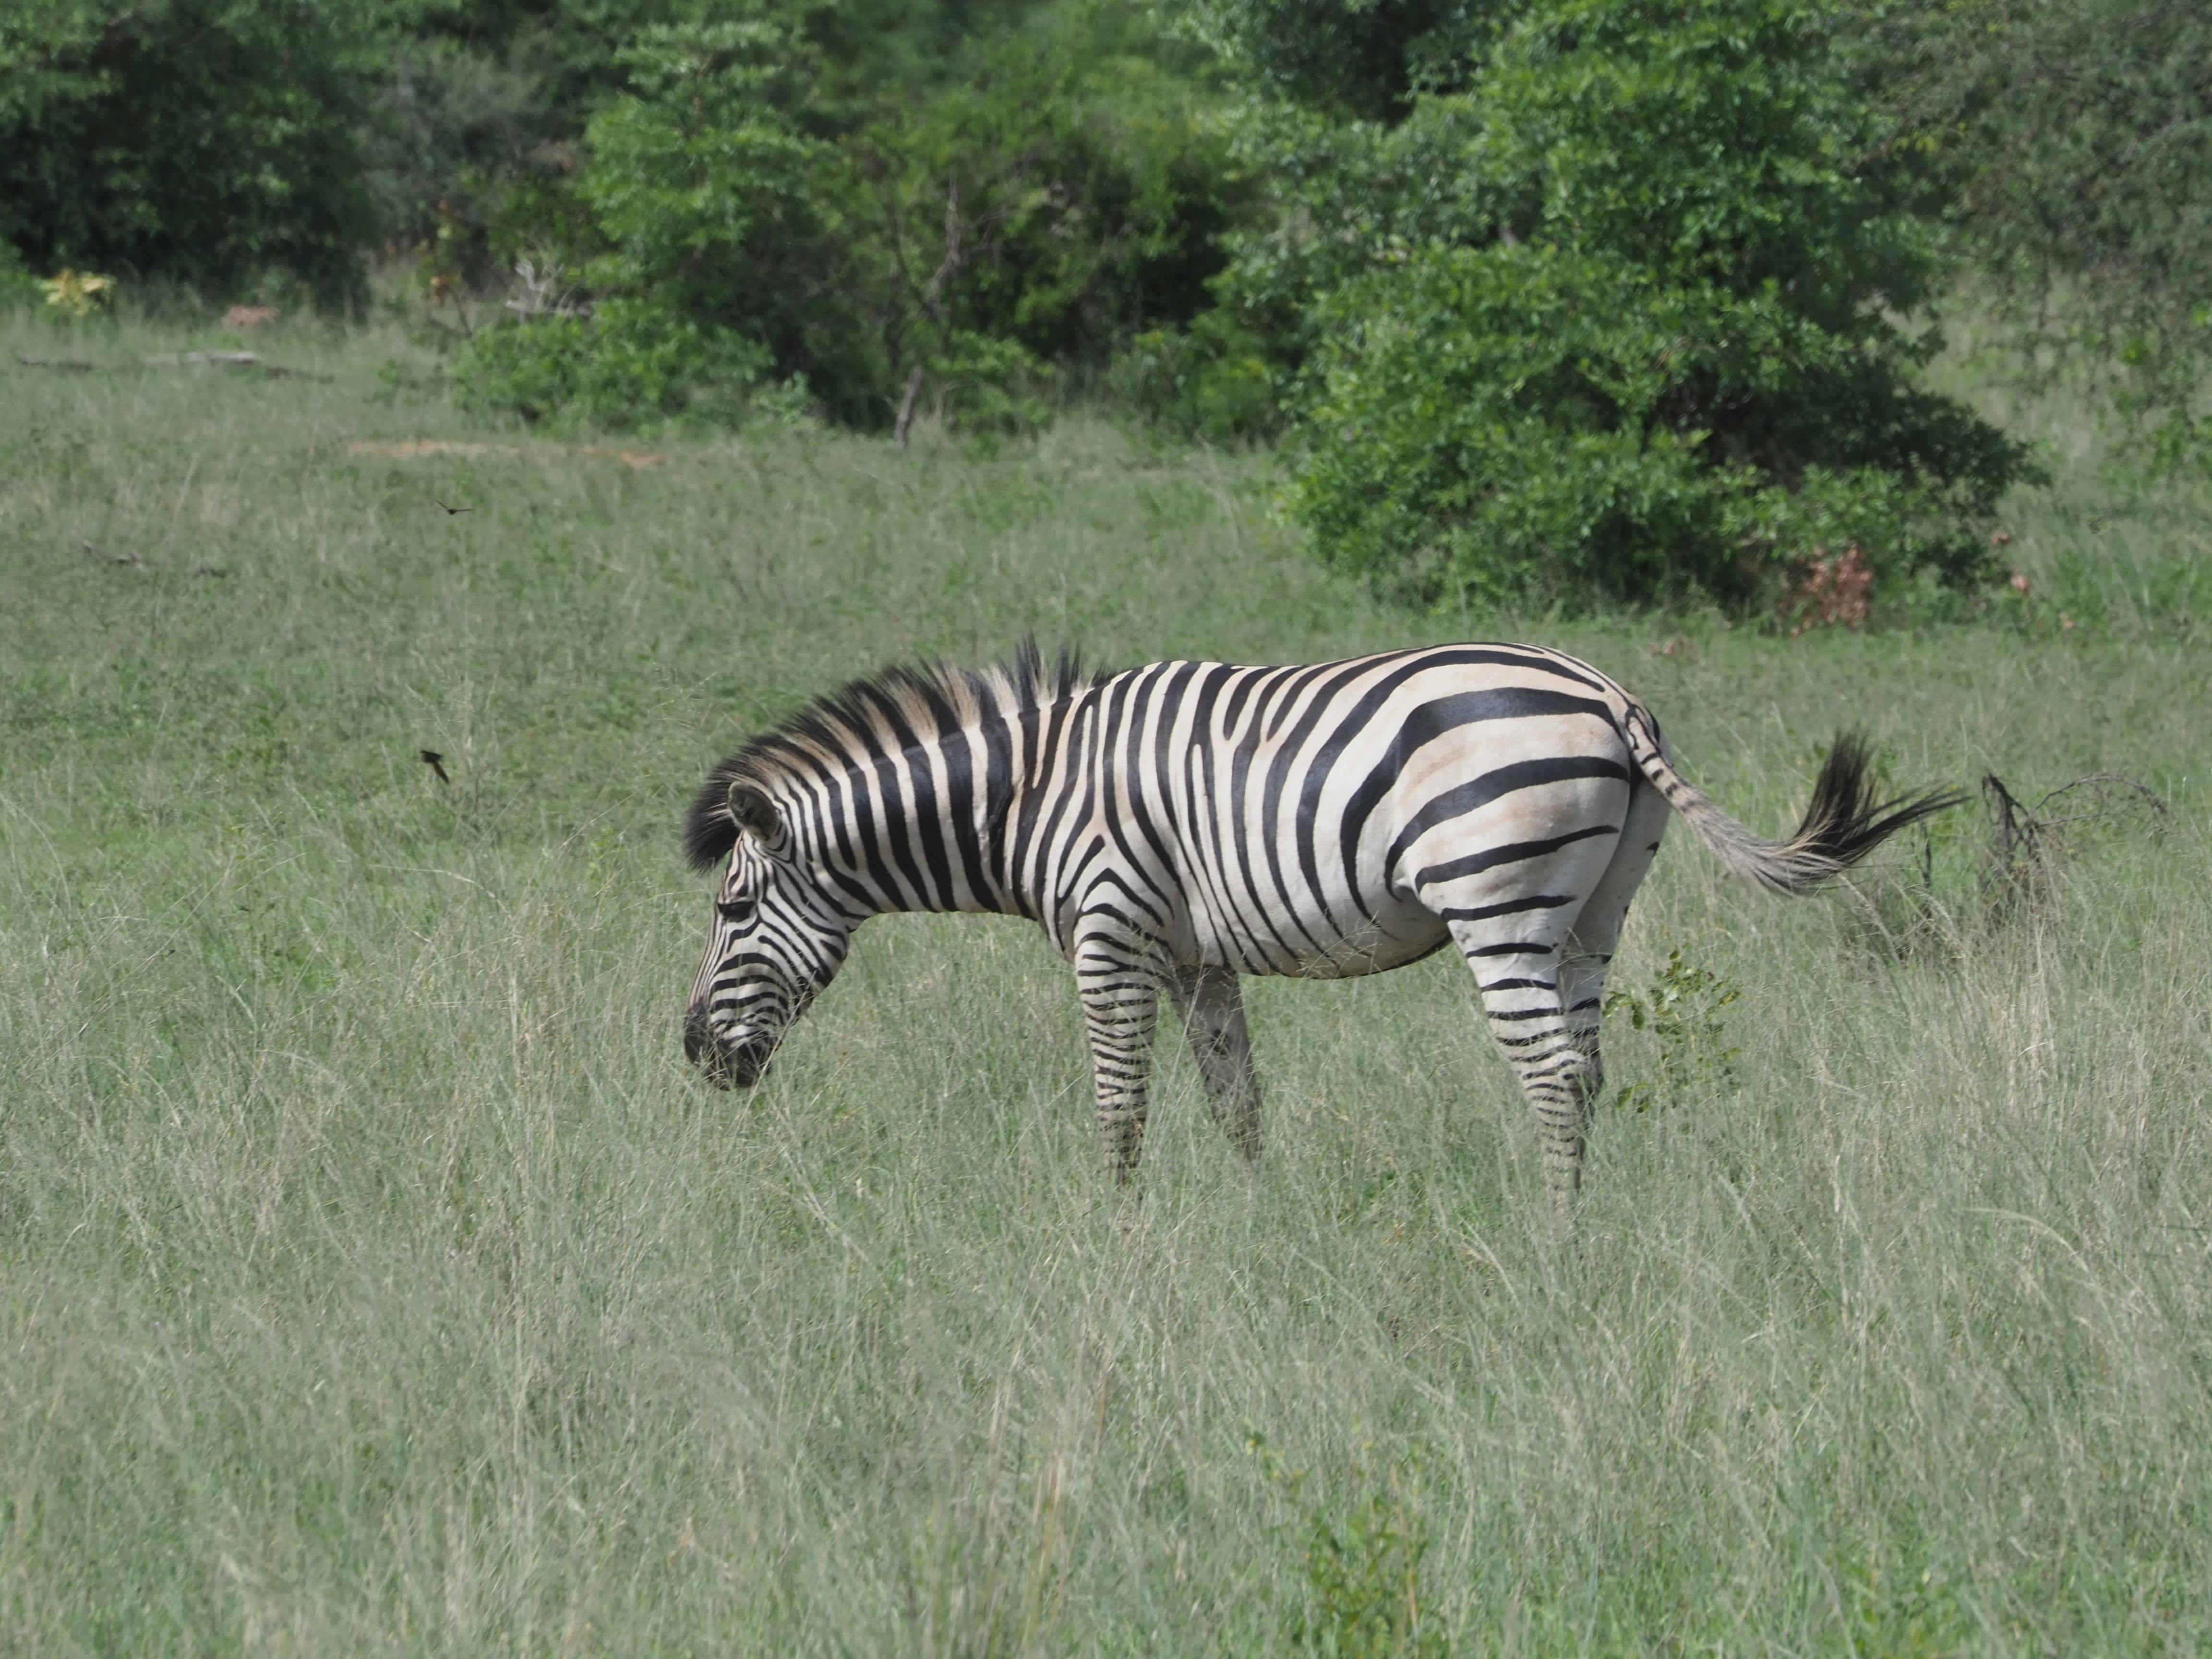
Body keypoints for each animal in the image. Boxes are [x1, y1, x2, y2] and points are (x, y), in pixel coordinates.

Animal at [681, 643, 1955, 1212]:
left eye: (732, 908)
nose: (693, 1055)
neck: (1028, 795)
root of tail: (1608, 694)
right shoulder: (1193, 952)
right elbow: (1233, 1095)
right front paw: (1259, 1220)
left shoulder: (1110, 929)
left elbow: (1119, 1100)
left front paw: (1113, 1228)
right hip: (1597, 910)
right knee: (1589, 1068)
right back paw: (1586, 1212)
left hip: (1496, 896)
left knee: (1549, 1072)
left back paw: (1555, 1239)